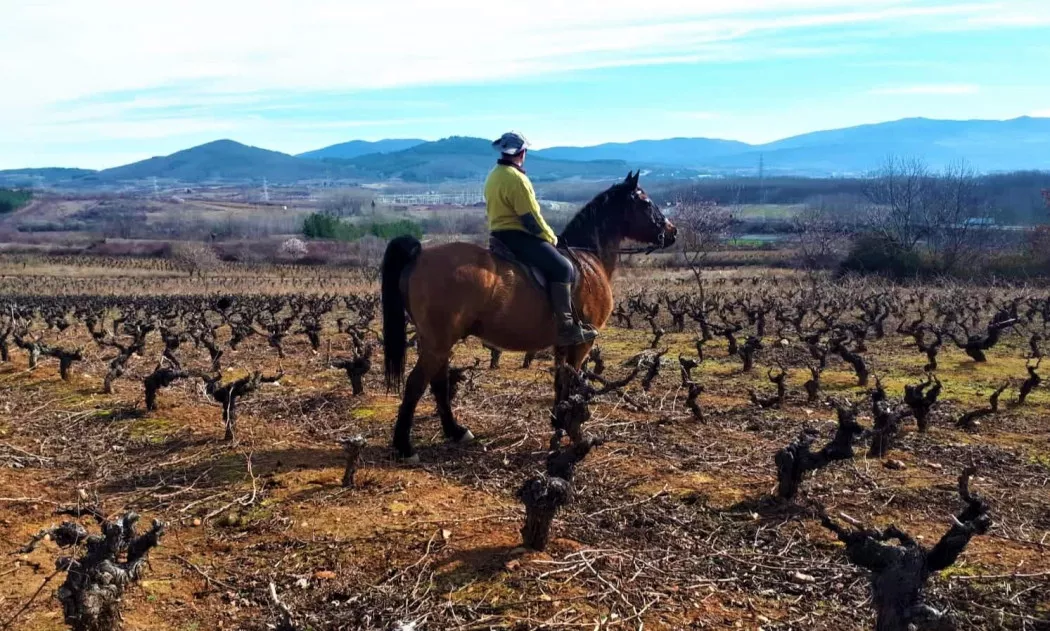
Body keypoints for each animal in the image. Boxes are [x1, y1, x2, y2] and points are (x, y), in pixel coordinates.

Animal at [382, 170, 676, 459]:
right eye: (645, 202)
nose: (672, 232)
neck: (589, 261)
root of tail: (419, 254)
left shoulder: (562, 343)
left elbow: (560, 382)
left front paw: (559, 420)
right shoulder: (583, 342)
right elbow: (571, 380)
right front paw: (569, 428)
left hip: (438, 342)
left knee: (438, 383)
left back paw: (455, 431)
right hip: (438, 342)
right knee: (416, 384)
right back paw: (405, 446)